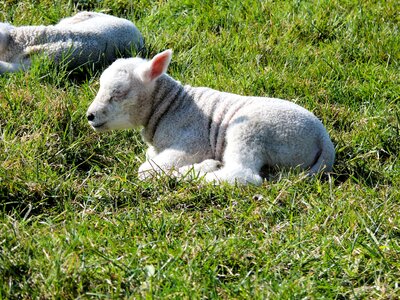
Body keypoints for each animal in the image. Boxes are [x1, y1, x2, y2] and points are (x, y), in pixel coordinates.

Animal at [86, 49, 334, 185]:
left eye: (119, 93)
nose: (90, 116)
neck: (168, 105)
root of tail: (323, 140)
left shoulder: (192, 143)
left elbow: (145, 170)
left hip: (251, 132)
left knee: (242, 175)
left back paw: (201, 171)